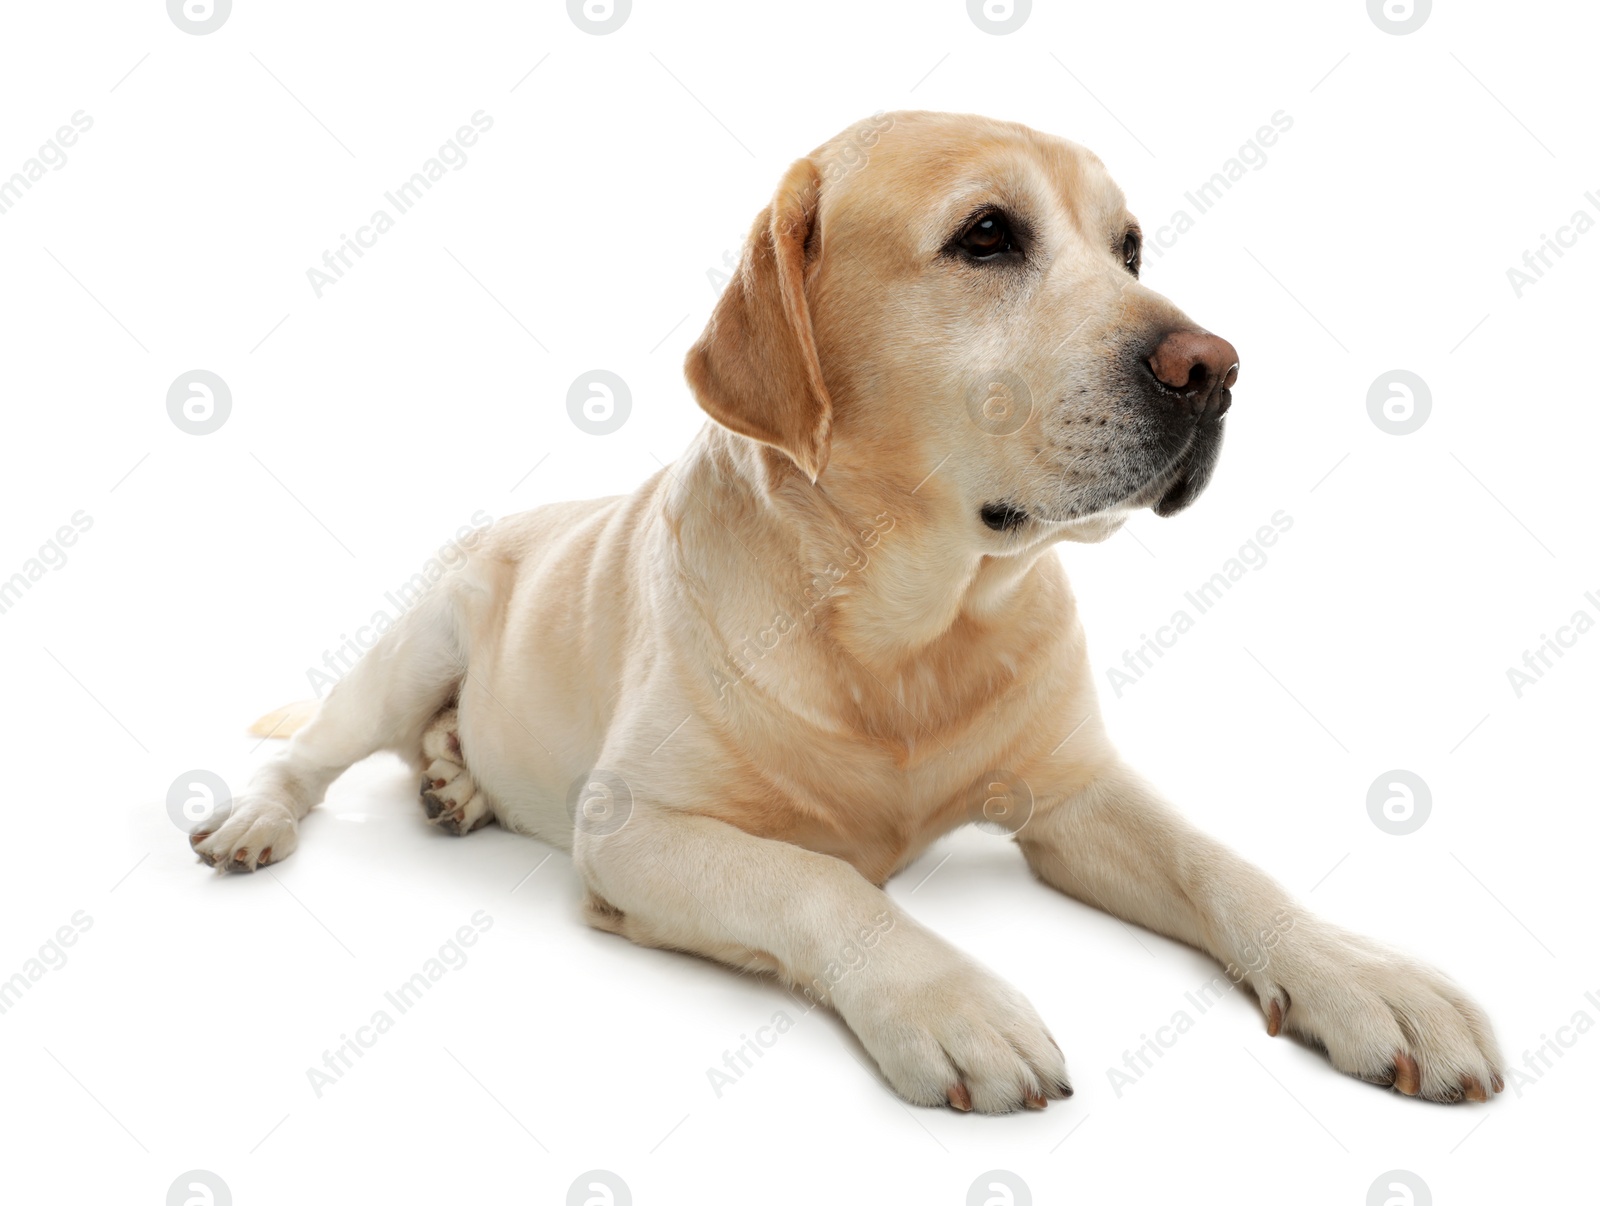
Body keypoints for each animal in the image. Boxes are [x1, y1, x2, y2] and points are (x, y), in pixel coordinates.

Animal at [193, 110, 1504, 1106]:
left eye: (1130, 247)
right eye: (987, 235)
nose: (1214, 369)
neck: (911, 625)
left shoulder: (1076, 793)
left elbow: (1223, 867)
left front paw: (1361, 974)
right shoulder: (634, 828)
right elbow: (815, 881)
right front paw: (950, 998)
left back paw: (455, 780)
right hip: (414, 645)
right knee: (313, 754)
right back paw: (256, 820)